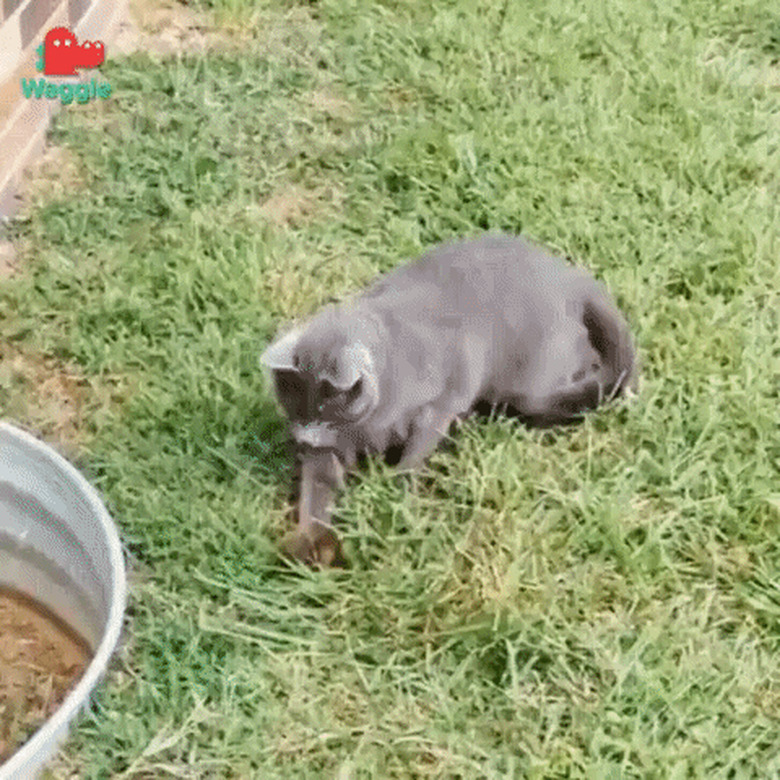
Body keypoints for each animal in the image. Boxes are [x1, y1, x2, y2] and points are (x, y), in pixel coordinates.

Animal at [262, 232, 640, 568]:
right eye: (293, 408)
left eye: (325, 409)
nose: (304, 437)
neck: (371, 422)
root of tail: (575, 278)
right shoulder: (329, 449)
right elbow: (318, 486)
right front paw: (311, 540)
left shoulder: (446, 393)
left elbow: (419, 447)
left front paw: (398, 497)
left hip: (534, 376)